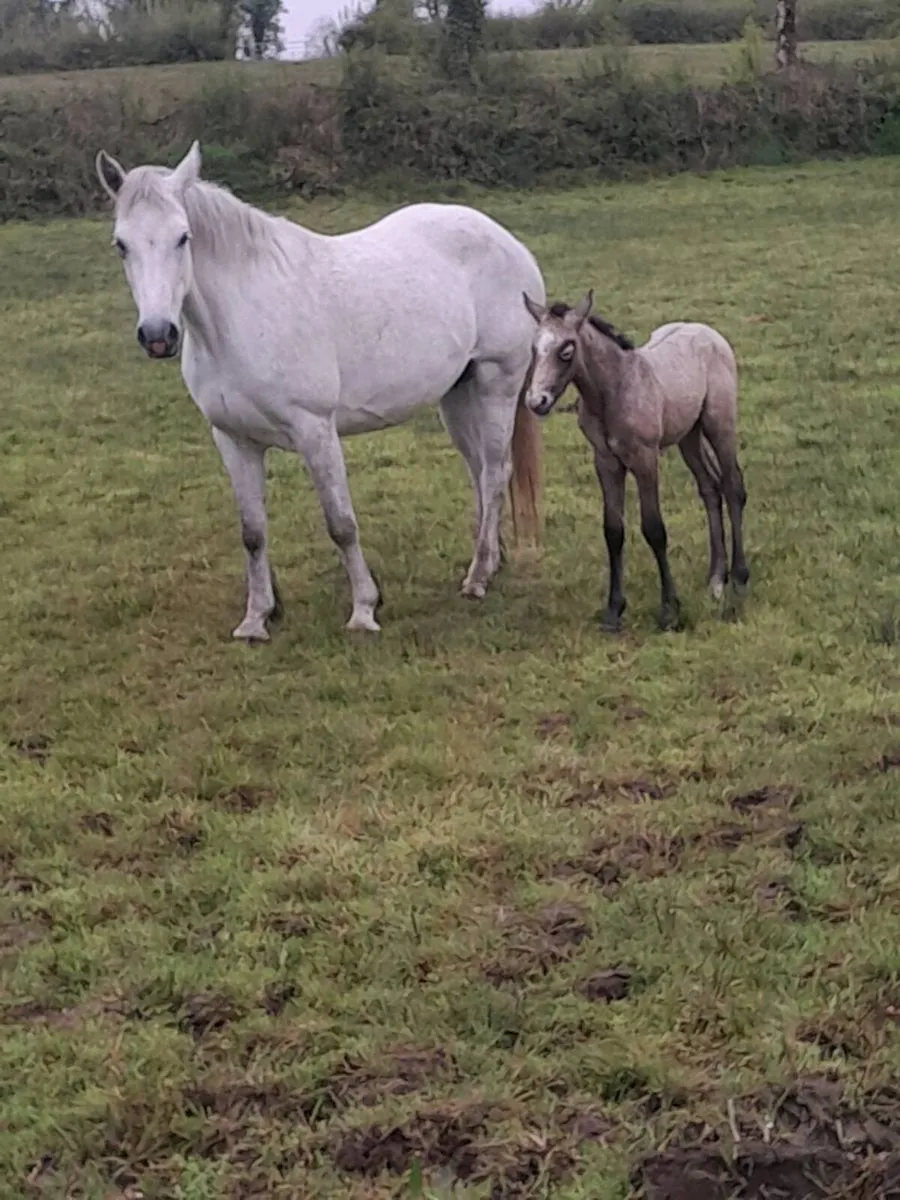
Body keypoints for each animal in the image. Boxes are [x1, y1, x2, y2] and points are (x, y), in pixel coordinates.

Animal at [94, 141, 545, 641]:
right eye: (121, 245)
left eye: (183, 237)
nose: (158, 336)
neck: (243, 316)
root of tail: (507, 241)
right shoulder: (233, 439)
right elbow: (252, 532)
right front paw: (256, 618)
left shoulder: (315, 431)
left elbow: (341, 524)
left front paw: (364, 610)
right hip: (457, 396)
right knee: (479, 473)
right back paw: (490, 563)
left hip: (496, 384)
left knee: (496, 472)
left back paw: (479, 577)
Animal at [522, 290, 749, 632]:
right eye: (534, 348)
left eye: (567, 350)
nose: (537, 401)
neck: (614, 390)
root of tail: (707, 332)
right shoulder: (606, 462)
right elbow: (613, 530)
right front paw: (614, 611)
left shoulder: (644, 459)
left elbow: (654, 529)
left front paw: (669, 610)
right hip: (688, 435)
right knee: (710, 487)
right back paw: (715, 579)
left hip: (718, 424)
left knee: (733, 486)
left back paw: (738, 577)